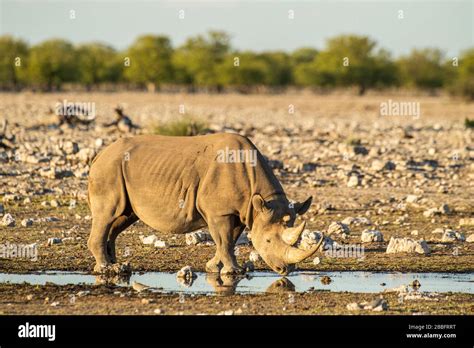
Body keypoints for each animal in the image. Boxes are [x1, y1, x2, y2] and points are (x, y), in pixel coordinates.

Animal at [87, 133, 324, 274]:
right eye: (267, 241)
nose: (286, 270)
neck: (260, 200)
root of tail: (99, 155)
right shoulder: (220, 212)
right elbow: (225, 240)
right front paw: (234, 271)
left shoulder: (241, 212)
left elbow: (228, 240)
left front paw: (213, 267)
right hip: (109, 169)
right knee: (107, 215)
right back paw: (106, 268)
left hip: (119, 172)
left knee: (122, 218)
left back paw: (117, 265)